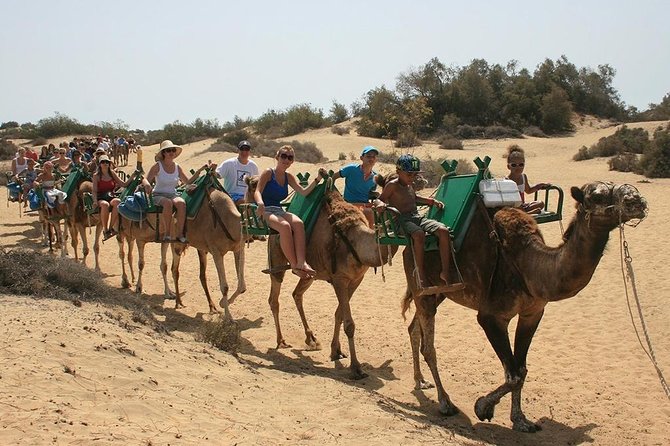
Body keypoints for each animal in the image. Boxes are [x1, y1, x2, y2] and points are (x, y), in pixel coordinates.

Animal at [247, 176, 400, 378]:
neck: (356, 242)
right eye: (396, 185)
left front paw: (336, 351)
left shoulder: (356, 280)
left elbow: (339, 314)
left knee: (297, 294)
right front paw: (356, 367)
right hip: (277, 259)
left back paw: (311, 338)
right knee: (274, 298)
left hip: (310, 274)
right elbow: (349, 323)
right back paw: (281, 340)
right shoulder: (340, 279)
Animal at [402, 181, 648, 432]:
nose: (637, 201)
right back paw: (445, 403)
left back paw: (420, 380)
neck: (530, 267)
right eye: (597, 196)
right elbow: (513, 375)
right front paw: (483, 407)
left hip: (438, 291)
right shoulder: (491, 317)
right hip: (421, 284)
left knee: (414, 329)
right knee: (428, 347)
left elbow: (521, 369)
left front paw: (520, 420)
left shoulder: (533, 313)